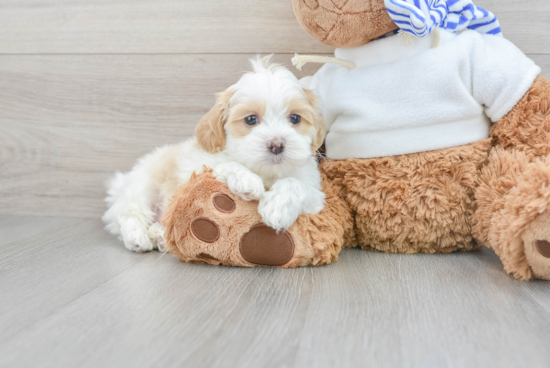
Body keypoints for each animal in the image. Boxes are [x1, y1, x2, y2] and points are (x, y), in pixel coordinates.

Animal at [103, 56, 328, 253]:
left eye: (295, 118)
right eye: (251, 119)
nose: (277, 145)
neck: (265, 172)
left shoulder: (315, 194)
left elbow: (295, 184)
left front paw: (277, 207)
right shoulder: (194, 172)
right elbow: (225, 165)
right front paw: (247, 182)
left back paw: (160, 236)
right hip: (144, 182)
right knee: (128, 214)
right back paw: (137, 237)